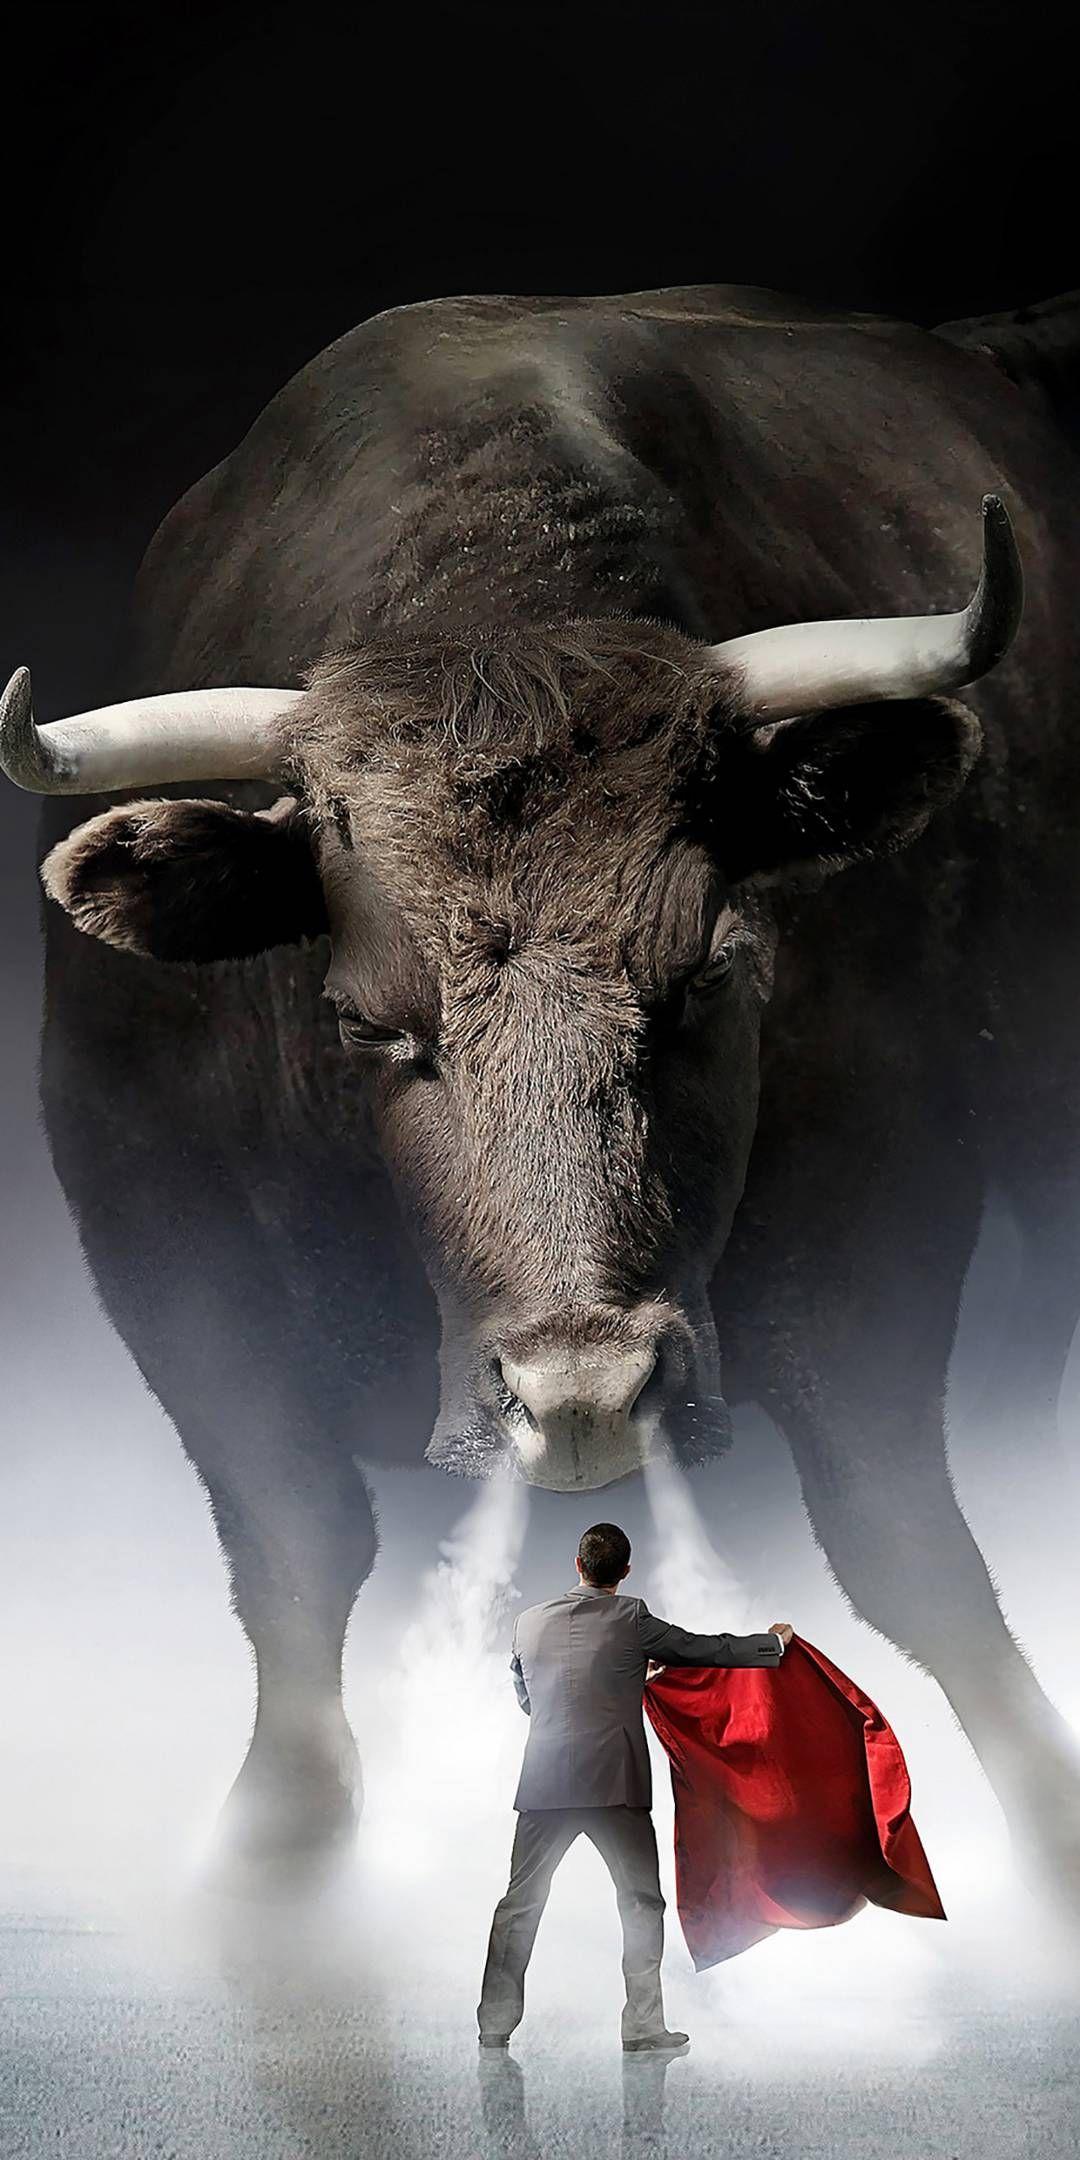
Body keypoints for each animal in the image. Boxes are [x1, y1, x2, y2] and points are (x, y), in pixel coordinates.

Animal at [5, 284, 1080, 1902]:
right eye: (364, 1023)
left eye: (712, 972)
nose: (584, 1393)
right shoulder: (152, 1226)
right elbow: (295, 1543)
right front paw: (274, 1862)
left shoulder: (886, 1200)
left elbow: (902, 1533)